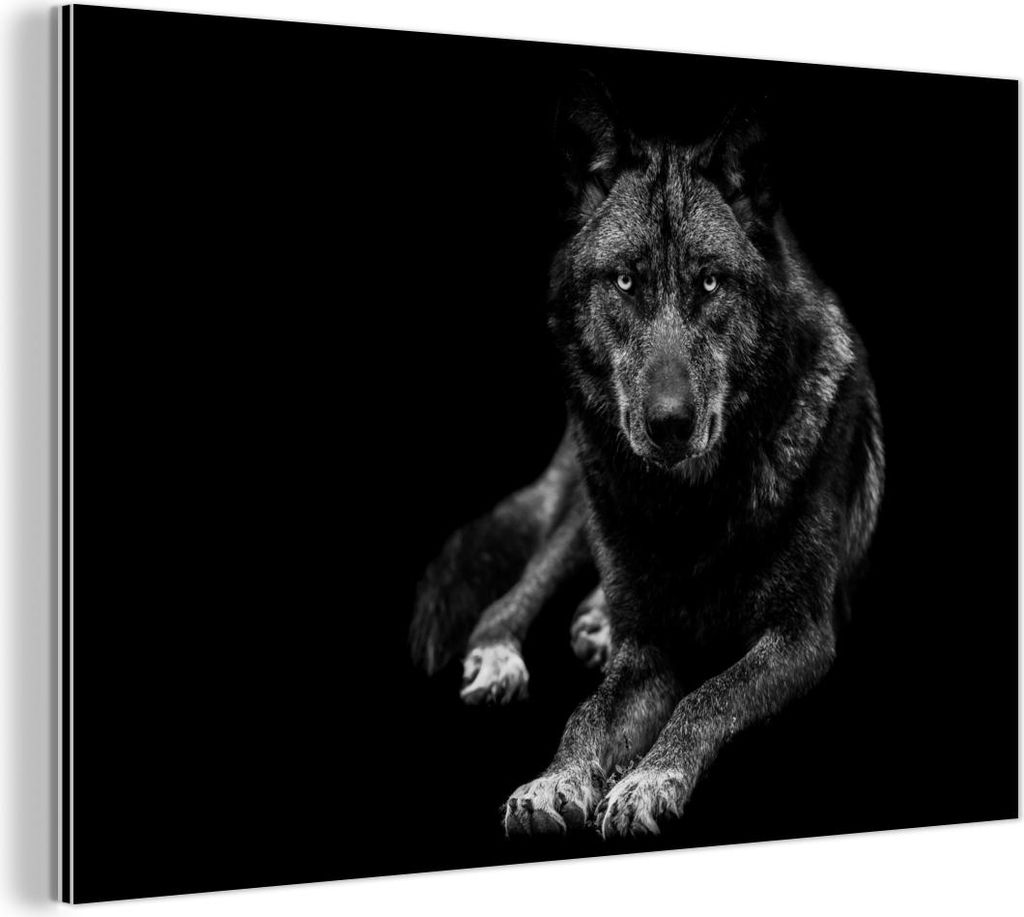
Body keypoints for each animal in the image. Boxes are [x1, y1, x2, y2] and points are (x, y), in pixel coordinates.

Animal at [410, 75, 884, 838]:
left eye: (710, 283)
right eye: (626, 282)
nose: (669, 424)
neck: (689, 506)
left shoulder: (802, 634)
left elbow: (709, 694)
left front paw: (646, 779)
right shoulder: (648, 655)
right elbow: (586, 713)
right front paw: (554, 781)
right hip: (585, 508)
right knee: (514, 593)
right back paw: (503, 652)